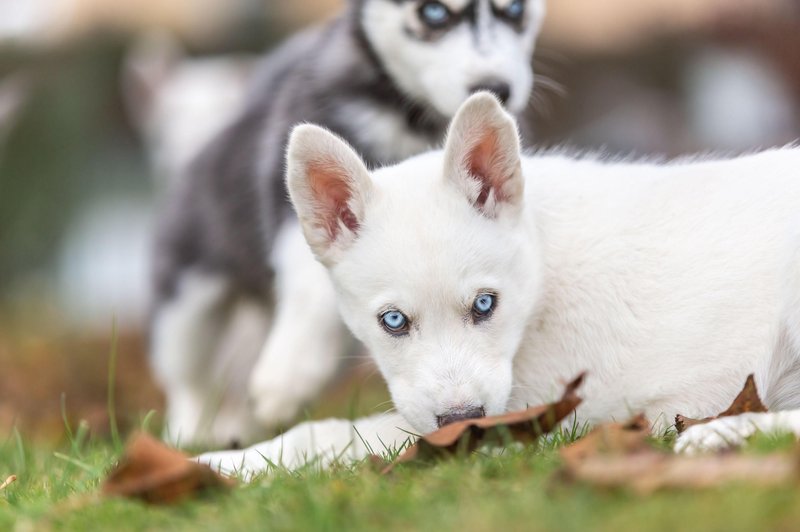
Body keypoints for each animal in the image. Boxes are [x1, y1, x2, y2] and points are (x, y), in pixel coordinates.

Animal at [152, 0, 544, 448]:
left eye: (514, 10)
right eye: (433, 13)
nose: (497, 87)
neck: (416, 122)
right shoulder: (291, 200)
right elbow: (311, 282)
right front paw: (286, 376)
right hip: (187, 303)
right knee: (188, 377)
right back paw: (192, 430)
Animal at [198, 93, 800, 476]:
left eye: (485, 304)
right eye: (393, 321)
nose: (462, 420)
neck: (542, 273)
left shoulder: (537, 408)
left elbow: (330, 433)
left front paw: (223, 463)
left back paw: (717, 434)